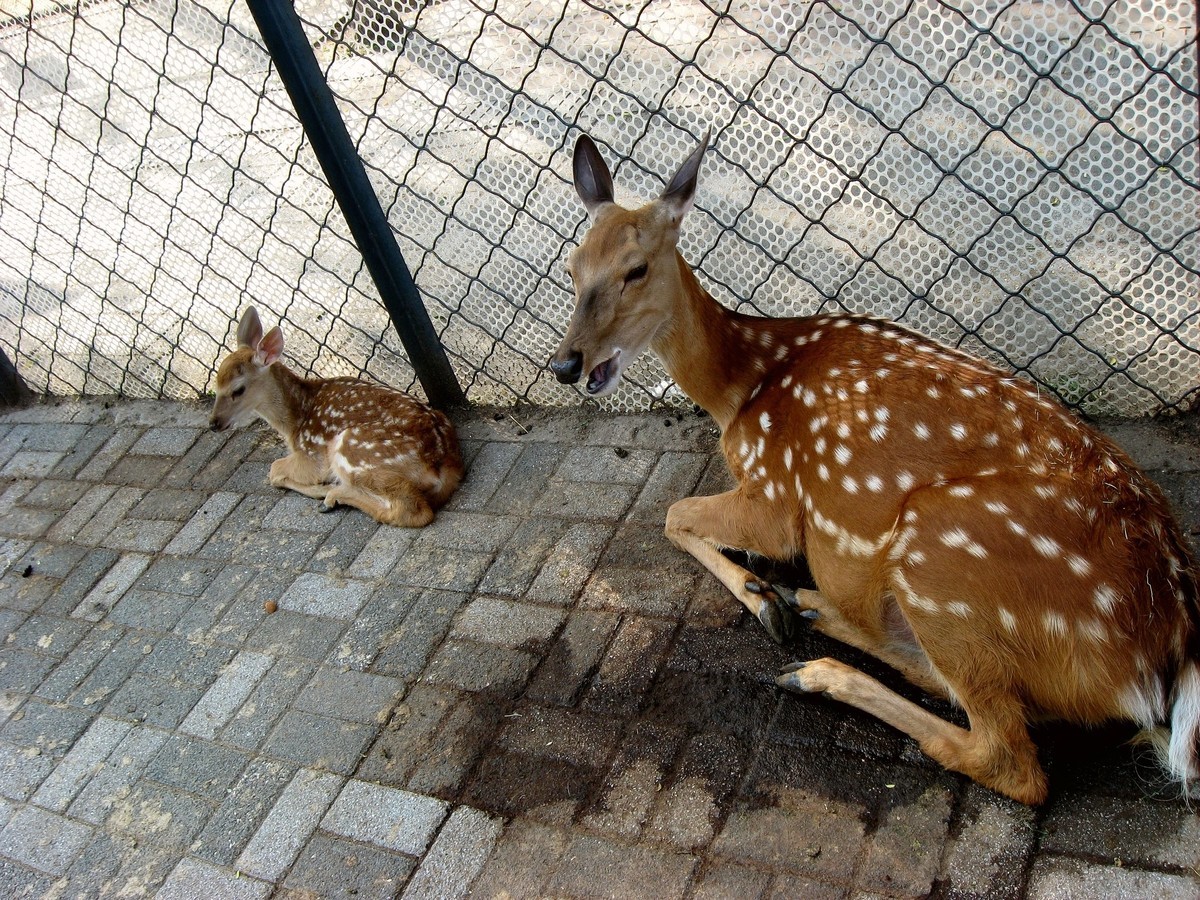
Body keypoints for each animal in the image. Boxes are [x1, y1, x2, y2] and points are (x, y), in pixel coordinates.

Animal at [213, 309, 460, 528]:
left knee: (412, 510)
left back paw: (334, 495)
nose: (213, 423)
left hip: (353, 450)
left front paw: (320, 489)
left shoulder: (312, 455)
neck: (294, 422)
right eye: (216, 384)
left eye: (238, 390)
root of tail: (443, 461)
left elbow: (274, 469)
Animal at [552, 132, 1200, 801]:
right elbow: (676, 515)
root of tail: (1169, 647)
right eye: (571, 268)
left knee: (1007, 757)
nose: (566, 364)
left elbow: (672, 514)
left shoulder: (776, 494)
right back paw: (811, 606)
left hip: (941, 557)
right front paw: (771, 596)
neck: (743, 388)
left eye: (636, 269)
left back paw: (814, 664)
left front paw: (762, 600)